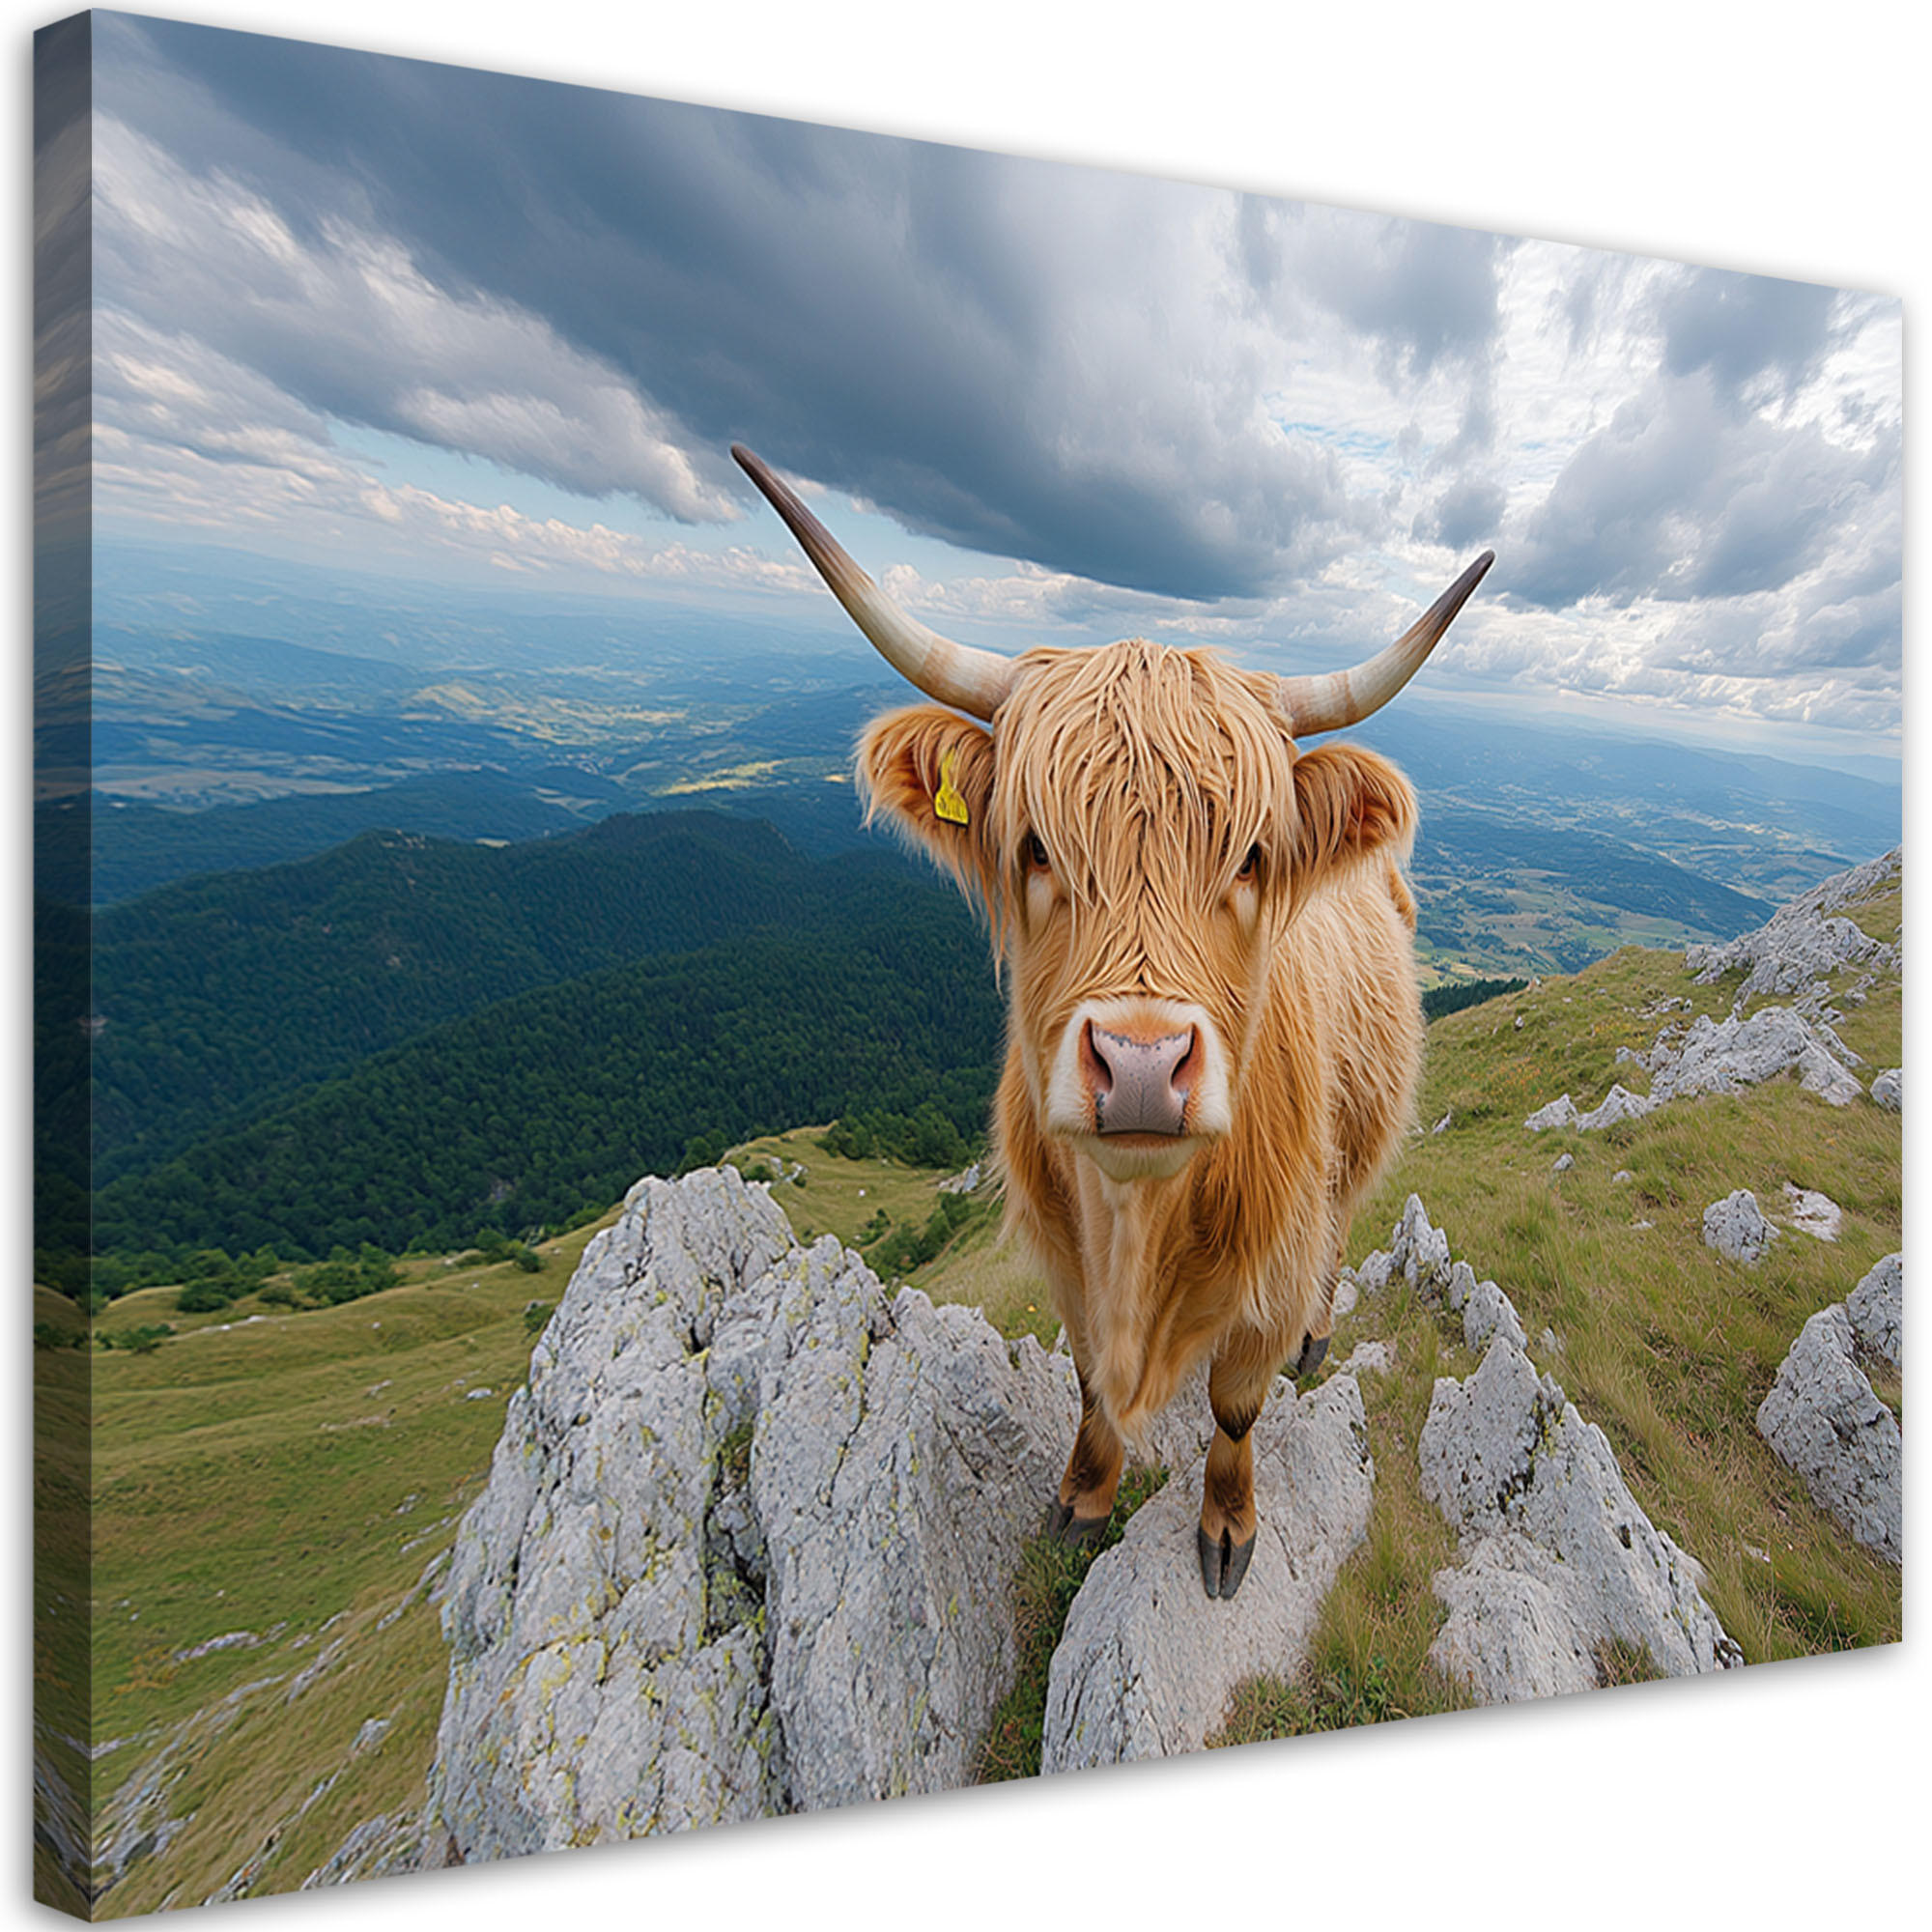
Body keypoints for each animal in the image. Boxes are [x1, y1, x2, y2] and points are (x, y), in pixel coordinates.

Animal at [733, 445, 1492, 1599]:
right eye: (1035, 844)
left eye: (1251, 856)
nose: (1140, 1065)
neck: (1139, 1228)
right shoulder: (1061, 1257)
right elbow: (1091, 1386)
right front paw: (1081, 1500)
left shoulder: (1265, 1272)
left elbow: (1236, 1404)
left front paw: (1226, 1526)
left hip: (1352, 1152)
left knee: (1337, 1232)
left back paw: (1318, 1337)